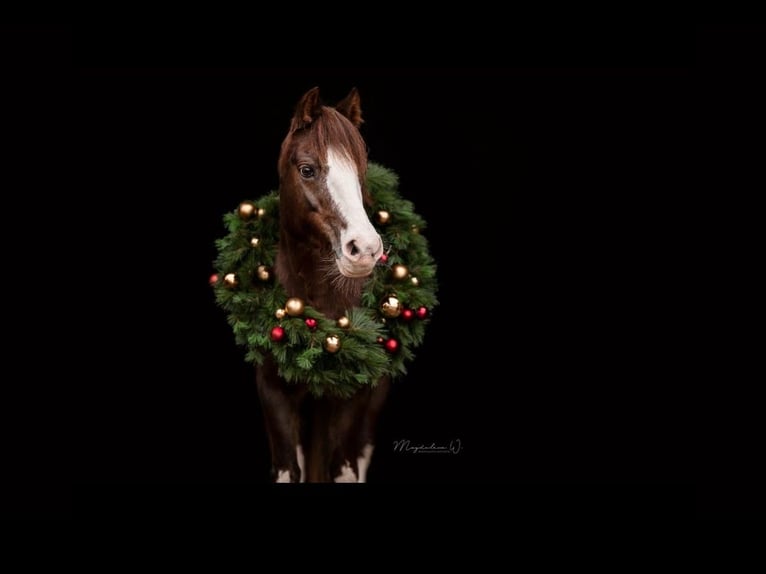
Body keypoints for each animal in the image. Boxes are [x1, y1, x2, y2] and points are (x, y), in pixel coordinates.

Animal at [256, 86, 388, 482]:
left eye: (360, 170)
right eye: (307, 169)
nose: (365, 250)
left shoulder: (353, 398)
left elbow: (345, 471)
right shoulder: (274, 394)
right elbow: (289, 471)